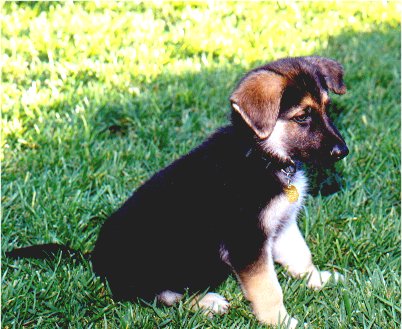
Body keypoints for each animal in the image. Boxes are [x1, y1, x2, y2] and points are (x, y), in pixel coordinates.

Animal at [7, 55, 348, 326]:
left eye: (327, 109)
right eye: (302, 117)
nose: (343, 151)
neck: (261, 156)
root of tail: (94, 259)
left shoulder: (282, 224)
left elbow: (300, 255)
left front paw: (317, 279)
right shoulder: (247, 242)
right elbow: (269, 289)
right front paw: (281, 321)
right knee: (166, 297)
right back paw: (208, 302)